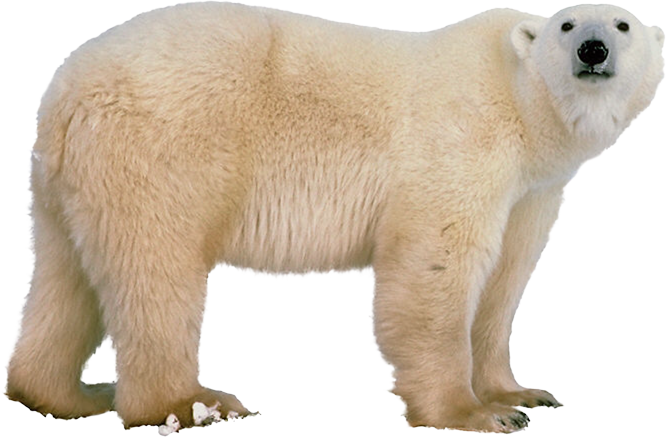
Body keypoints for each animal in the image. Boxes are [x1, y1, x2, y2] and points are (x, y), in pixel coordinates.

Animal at [7, 2, 664, 434]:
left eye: (623, 25)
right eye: (567, 25)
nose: (593, 50)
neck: (521, 104)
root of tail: (64, 90)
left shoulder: (532, 190)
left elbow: (506, 277)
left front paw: (522, 391)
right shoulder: (460, 138)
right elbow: (435, 263)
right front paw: (474, 412)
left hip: (68, 182)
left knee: (66, 277)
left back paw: (66, 394)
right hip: (163, 149)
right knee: (157, 270)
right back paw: (192, 403)